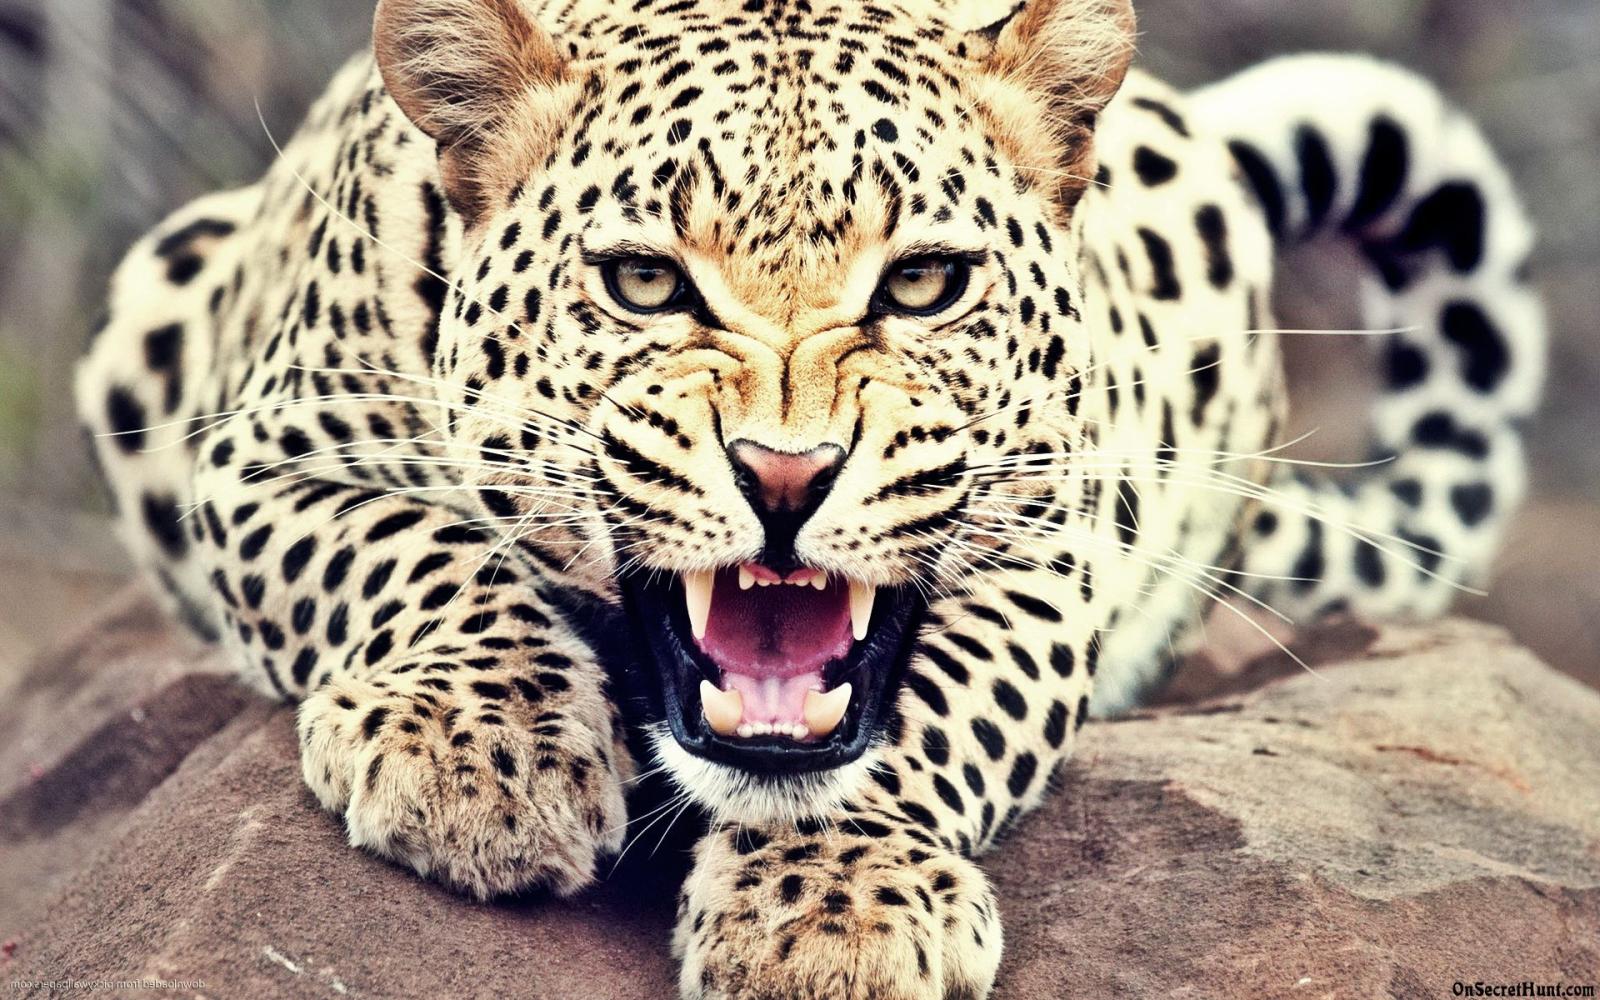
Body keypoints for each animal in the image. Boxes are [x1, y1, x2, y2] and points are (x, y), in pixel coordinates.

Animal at [75, 0, 1546, 996]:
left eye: (925, 282)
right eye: (646, 282)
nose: (786, 473)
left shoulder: (1046, 538)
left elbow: (932, 715)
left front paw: (835, 909)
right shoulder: (259, 451)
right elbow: (420, 553)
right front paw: (477, 756)